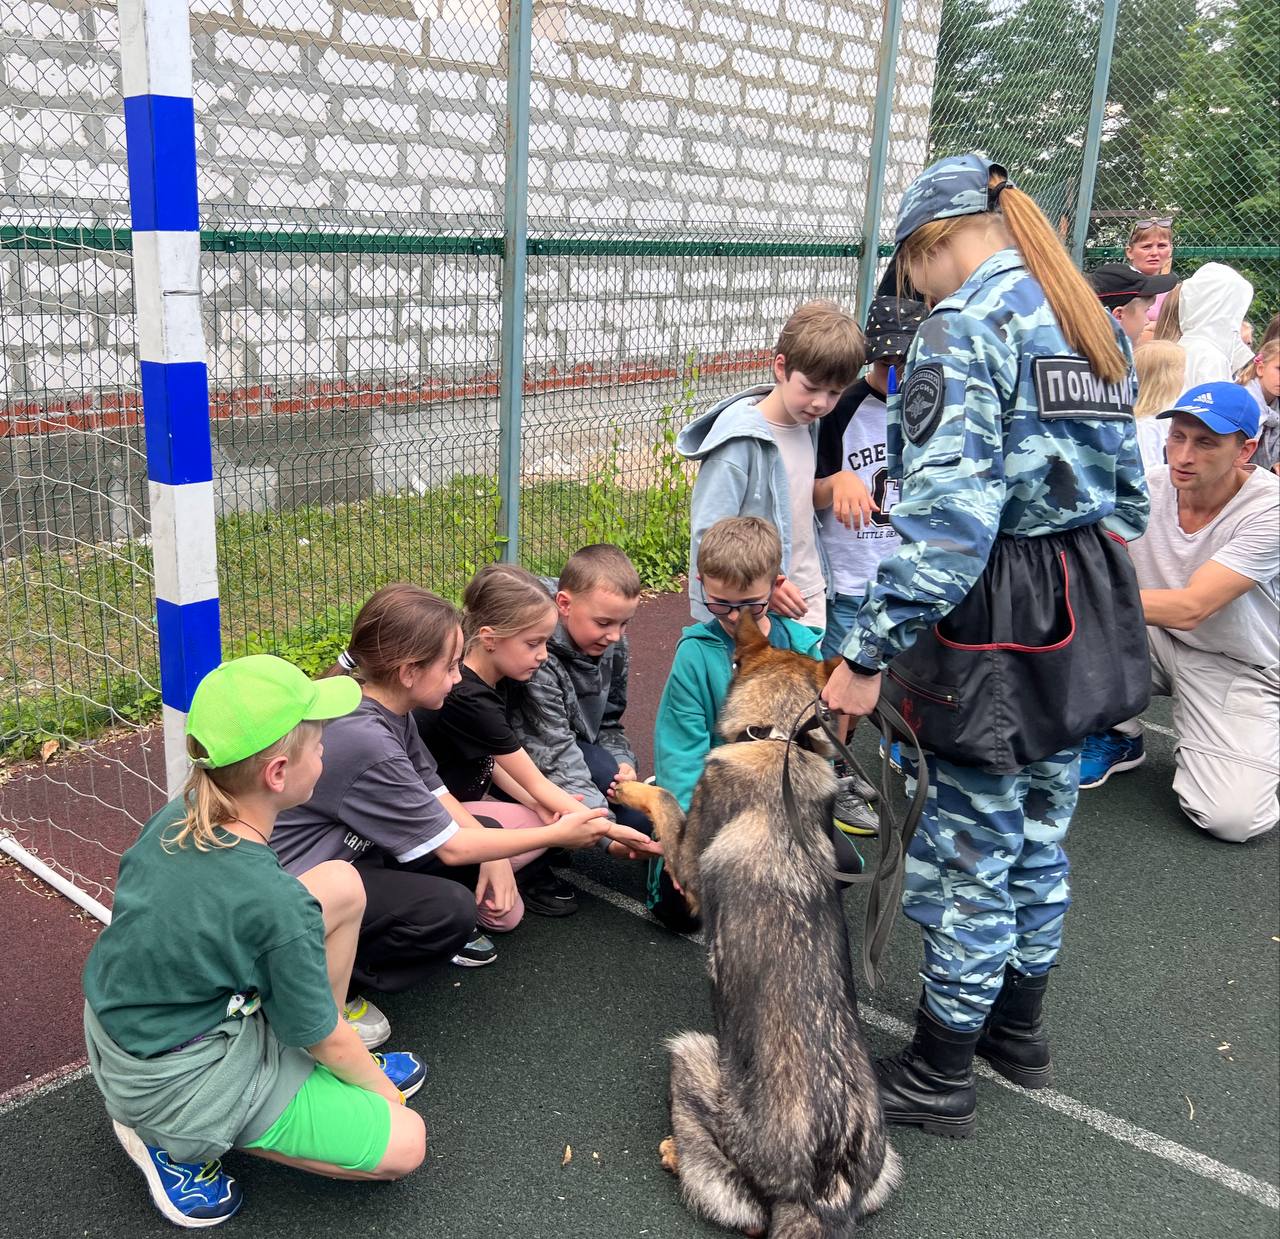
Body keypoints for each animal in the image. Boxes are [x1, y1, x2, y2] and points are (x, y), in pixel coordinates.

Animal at [611, 614, 901, 1233]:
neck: (777, 738)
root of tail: (820, 1191)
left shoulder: (687, 859)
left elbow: (665, 797)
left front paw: (634, 787)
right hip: (888, 1162)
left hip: (691, 1051)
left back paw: (674, 1150)